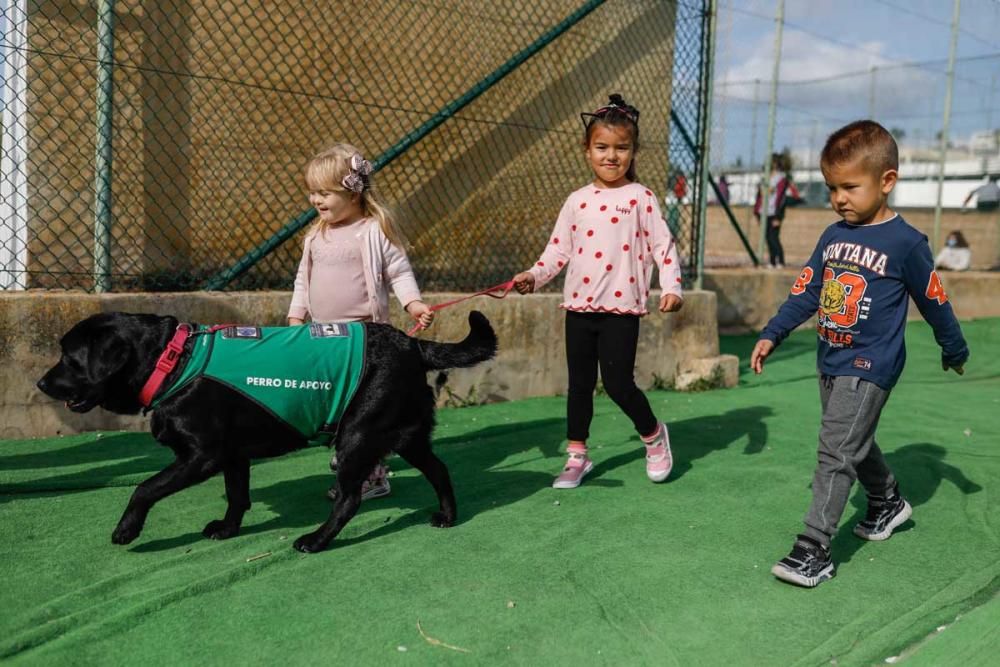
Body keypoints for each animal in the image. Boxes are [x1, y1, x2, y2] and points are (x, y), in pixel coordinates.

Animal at [37, 314, 498, 552]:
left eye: (69, 359)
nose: (40, 384)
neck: (172, 360)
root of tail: (413, 344)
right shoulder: (232, 456)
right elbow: (237, 496)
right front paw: (227, 530)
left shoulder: (201, 456)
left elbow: (143, 488)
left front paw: (127, 529)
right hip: (405, 436)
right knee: (439, 470)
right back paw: (448, 516)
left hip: (356, 436)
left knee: (349, 499)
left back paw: (316, 540)